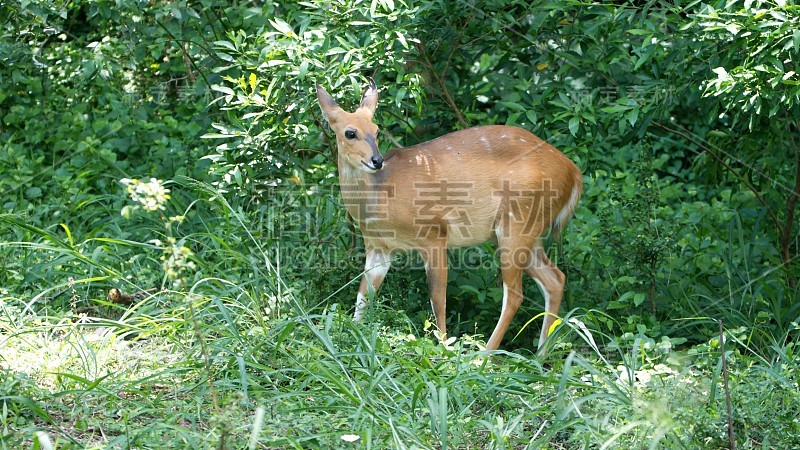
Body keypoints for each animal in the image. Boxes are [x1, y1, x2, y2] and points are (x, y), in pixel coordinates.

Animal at [316, 79, 584, 350]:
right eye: (350, 133)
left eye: (377, 130)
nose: (377, 160)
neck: (381, 196)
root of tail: (574, 174)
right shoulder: (378, 247)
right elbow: (364, 294)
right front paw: (350, 339)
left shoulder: (434, 234)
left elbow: (438, 299)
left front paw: (443, 348)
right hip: (526, 232)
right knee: (555, 279)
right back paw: (541, 353)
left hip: (518, 221)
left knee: (515, 294)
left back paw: (485, 354)